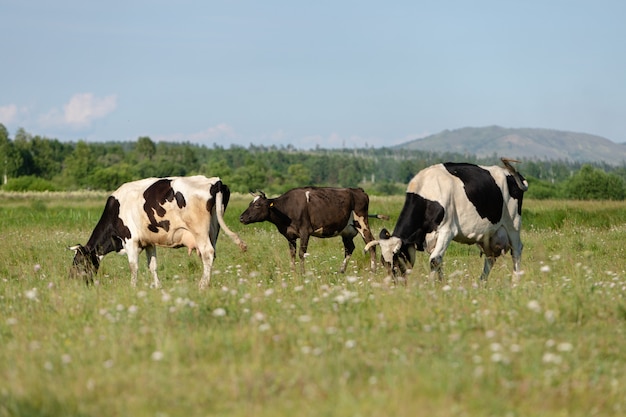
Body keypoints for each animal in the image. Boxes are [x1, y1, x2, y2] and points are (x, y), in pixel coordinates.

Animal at [67, 176, 244, 290]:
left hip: (199, 230)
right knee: (211, 255)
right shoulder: (149, 242)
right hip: (213, 230)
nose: (72, 281)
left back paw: (202, 285)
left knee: (207, 253)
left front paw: (132, 287)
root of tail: (214, 181)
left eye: (78, 262)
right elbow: (152, 266)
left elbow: (133, 267)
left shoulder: (130, 240)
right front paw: (157, 286)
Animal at [236, 186, 378, 272]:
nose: (241, 218)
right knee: (349, 248)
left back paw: (373, 270)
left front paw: (302, 273)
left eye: (258, 205)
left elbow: (301, 253)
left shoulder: (305, 231)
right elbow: (292, 254)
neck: (287, 209)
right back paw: (341, 271)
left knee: (371, 243)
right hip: (346, 231)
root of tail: (358, 190)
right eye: (250, 203)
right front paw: (292, 272)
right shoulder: (290, 235)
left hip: (362, 223)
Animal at [364, 158, 524, 282]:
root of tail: (514, 175)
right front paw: (441, 284)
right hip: (488, 235)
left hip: (513, 225)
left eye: (397, 259)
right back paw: (481, 283)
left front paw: (432, 285)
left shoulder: (447, 230)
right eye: (383, 262)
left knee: (516, 251)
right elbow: (438, 259)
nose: (395, 282)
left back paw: (515, 282)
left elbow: (434, 260)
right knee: (490, 258)